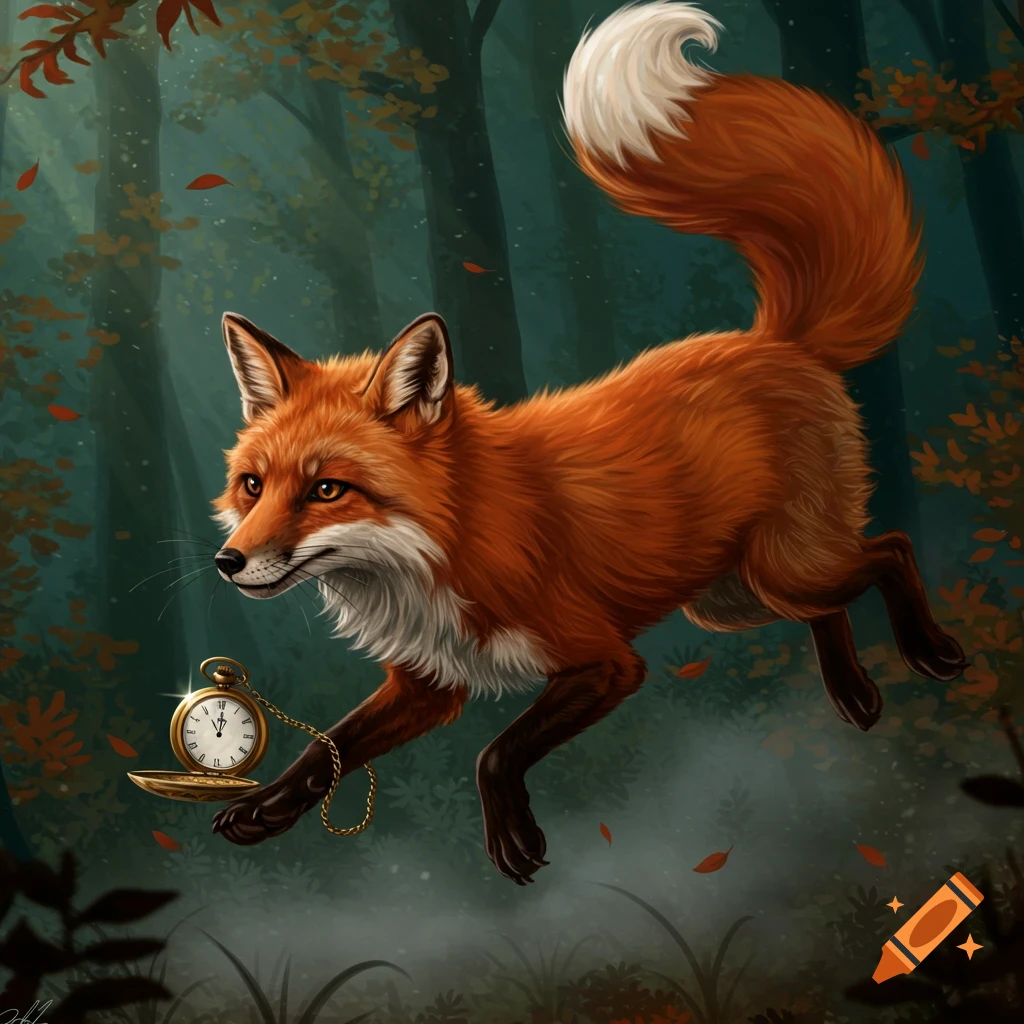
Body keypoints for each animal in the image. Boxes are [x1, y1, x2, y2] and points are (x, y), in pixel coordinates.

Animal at [208, 0, 967, 884]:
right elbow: (328, 747)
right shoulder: (430, 680)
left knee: (890, 551)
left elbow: (496, 751)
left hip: (779, 570)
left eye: (327, 489)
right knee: (833, 603)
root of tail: (775, 340)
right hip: (731, 597)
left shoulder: (604, 661)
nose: (228, 563)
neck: (447, 541)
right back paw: (852, 692)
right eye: (254, 485)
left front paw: (512, 837)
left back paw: (928, 651)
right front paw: (265, 809)